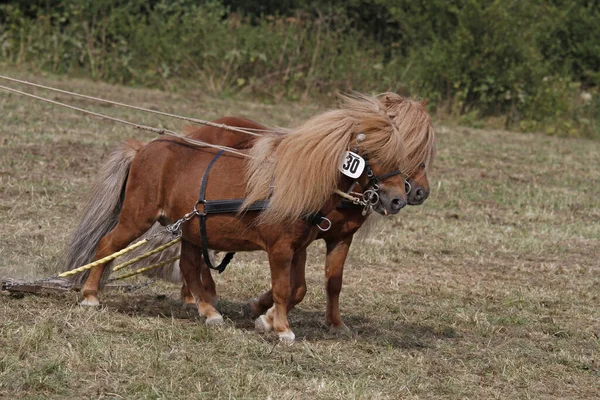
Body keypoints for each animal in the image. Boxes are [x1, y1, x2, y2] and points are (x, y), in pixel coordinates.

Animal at [63, 92, 434, 342]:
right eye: (376, 153)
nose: (401, 198)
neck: (301, 179)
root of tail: (144, 148)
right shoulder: (280, 247)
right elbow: (284, 288)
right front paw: (281, 328)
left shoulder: (304, 245)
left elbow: (302, 287)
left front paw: (268, 318)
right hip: (137, 216)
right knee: (107, 245)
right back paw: (91, 296)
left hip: (191, 227)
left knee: (188, 265)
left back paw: (209, 311)